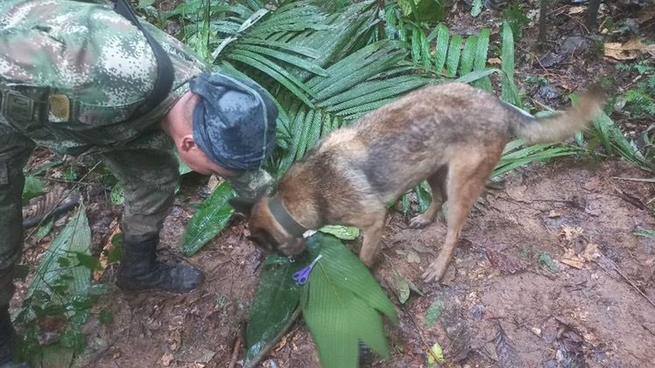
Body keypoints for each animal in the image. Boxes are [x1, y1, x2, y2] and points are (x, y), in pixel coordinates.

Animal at [232, 82, 604, 282]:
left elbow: (364, 256)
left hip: (459, 184)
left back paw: (438, 266)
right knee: (436, 199)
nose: (290, 264)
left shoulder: (374, 220)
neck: (291, 201)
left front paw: (362, 273)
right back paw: (424, 219)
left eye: (268, 249)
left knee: (453, 230)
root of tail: (499, 105)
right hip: (431, 169)